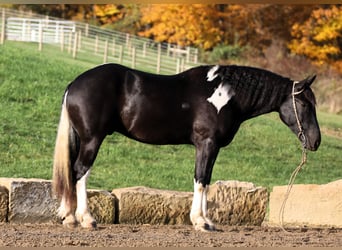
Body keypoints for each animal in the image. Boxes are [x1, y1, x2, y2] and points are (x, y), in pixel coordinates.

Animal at [51, 63, 320, 231]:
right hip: (93, 139)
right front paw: (200, 222)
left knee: (72, 171)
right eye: (304, 104)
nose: (316, 141)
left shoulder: (211, 147)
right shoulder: (206, 144)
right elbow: (201, 180)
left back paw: (69, 216)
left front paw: (207, 221)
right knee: (80, 171)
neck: (225, 96)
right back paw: (85, 219)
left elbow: (206, 180)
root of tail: (74, 84)